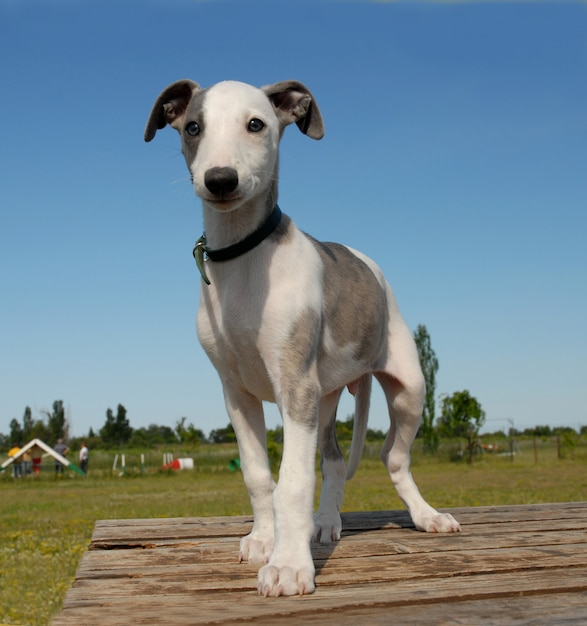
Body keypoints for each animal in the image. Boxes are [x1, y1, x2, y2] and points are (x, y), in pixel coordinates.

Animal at [145, 78, 462, 596]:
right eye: (193, 127)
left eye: (256, 124)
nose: (220, 180)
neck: (242, 258)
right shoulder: (237, 393)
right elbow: (259, 475)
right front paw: (264, 540)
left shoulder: (294, 384)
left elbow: (292, 481)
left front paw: (290, 565)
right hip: (327, 397)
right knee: (333, 460)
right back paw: (327, 523)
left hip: (407, 389)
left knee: (393, 457)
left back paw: (426, 516)